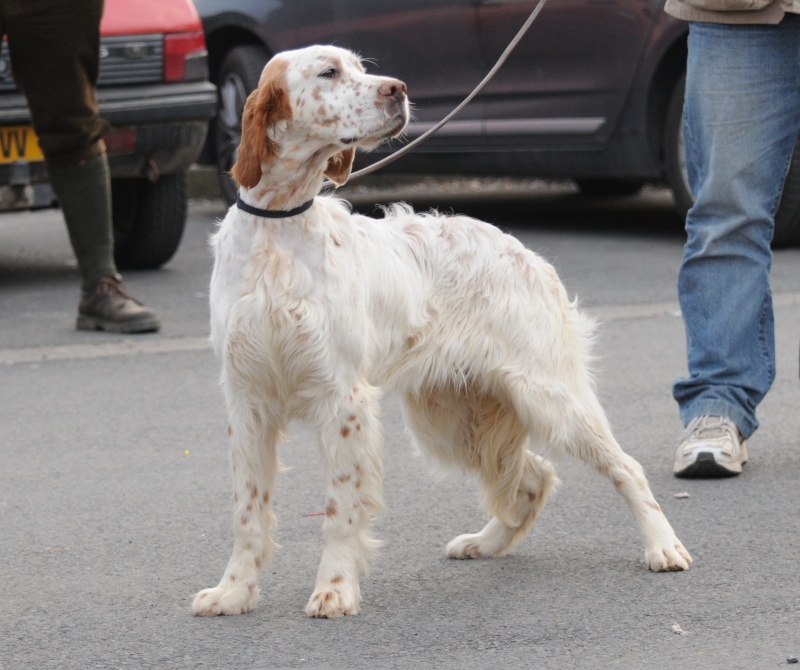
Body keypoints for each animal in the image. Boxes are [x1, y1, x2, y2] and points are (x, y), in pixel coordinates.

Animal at [194, 43, 692, 620]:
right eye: (329, 72)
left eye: (359, 67)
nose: (400, 90)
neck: (278, 227)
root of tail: (526, 253)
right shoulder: (247, 400)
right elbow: (247, 510)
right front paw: (233, 591)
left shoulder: (341, 398)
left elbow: (341, 507)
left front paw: (335, 588)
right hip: (452, 418)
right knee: (534, 477)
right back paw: (485, 542)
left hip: (548, 397)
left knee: (625, 468)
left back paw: (663, 546)